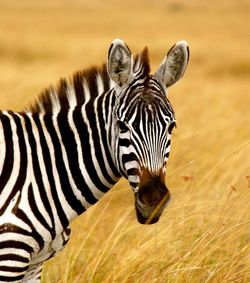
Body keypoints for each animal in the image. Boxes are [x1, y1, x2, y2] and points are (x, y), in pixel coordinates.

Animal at [0, 38, 189, 282]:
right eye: (122, 126)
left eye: (171, 126)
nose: (154, 201)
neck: (42, 166)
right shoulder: (9, 256)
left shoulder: (34, 266)